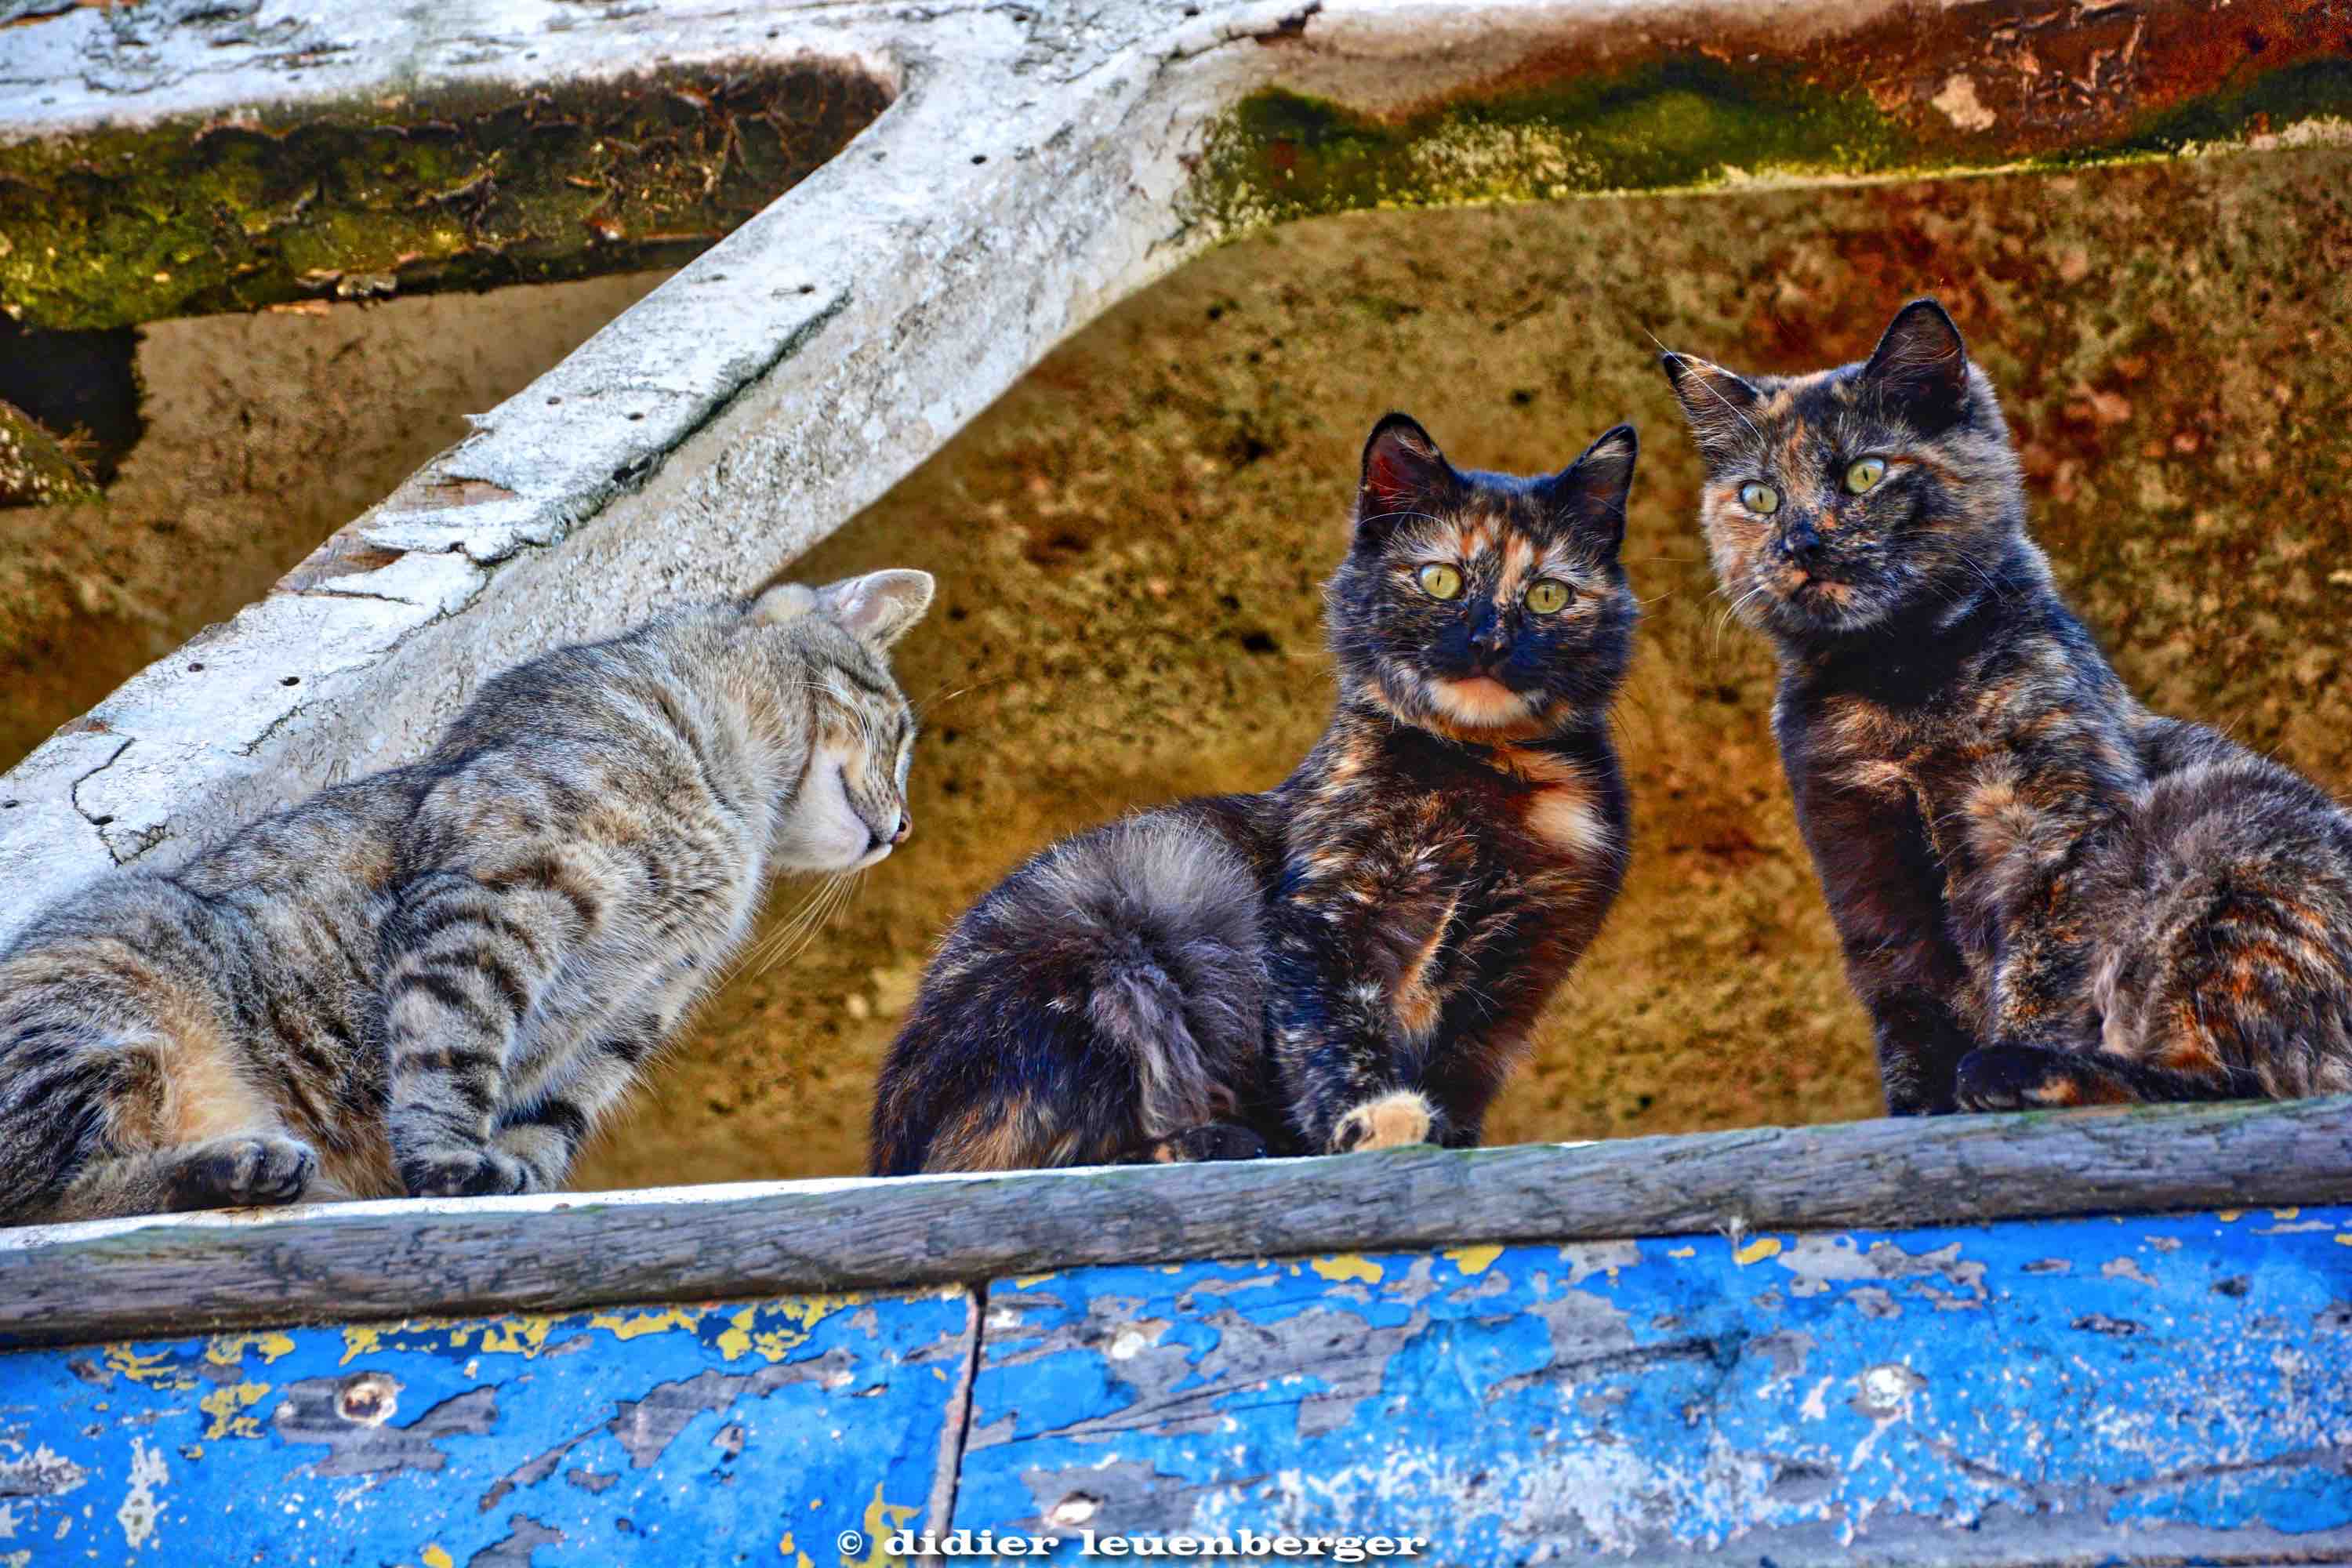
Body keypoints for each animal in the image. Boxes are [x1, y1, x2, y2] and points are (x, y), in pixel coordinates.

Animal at [0, 566, 936, 1222]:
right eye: (898, 732)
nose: (904, 829)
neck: (733, 809)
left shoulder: (630, 1015)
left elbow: (548, 1122)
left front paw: (518, 1182)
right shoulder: (501, 893)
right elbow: (455, 1045)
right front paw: (450, 1161)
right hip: (111, 1002)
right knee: (52, 1197)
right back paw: (247, 1166)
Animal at [866, 411, 1637, 1171]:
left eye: (1547, 594)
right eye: (1441, 580)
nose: (1489, 641)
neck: (1486, 777)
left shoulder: (1514, 978)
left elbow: (1457, 1071)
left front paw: (1442, 1131)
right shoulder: (1331, 917)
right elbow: (1330, 1029)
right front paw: (1371, 1117)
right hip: (1127, 922)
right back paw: (1216, 1142)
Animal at [1665, 300, 2352, 1114]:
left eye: (1865, 473)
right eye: (1759, 496)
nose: (1801, 541)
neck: (1894, 691)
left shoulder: (2055, 837)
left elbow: (2040, 971)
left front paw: (2000, 1058)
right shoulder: (1866, 871)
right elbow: (1911, 1008)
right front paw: (1918, 1110)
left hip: (2224, 847)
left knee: (2236, 1077)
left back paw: (2021, 1071)